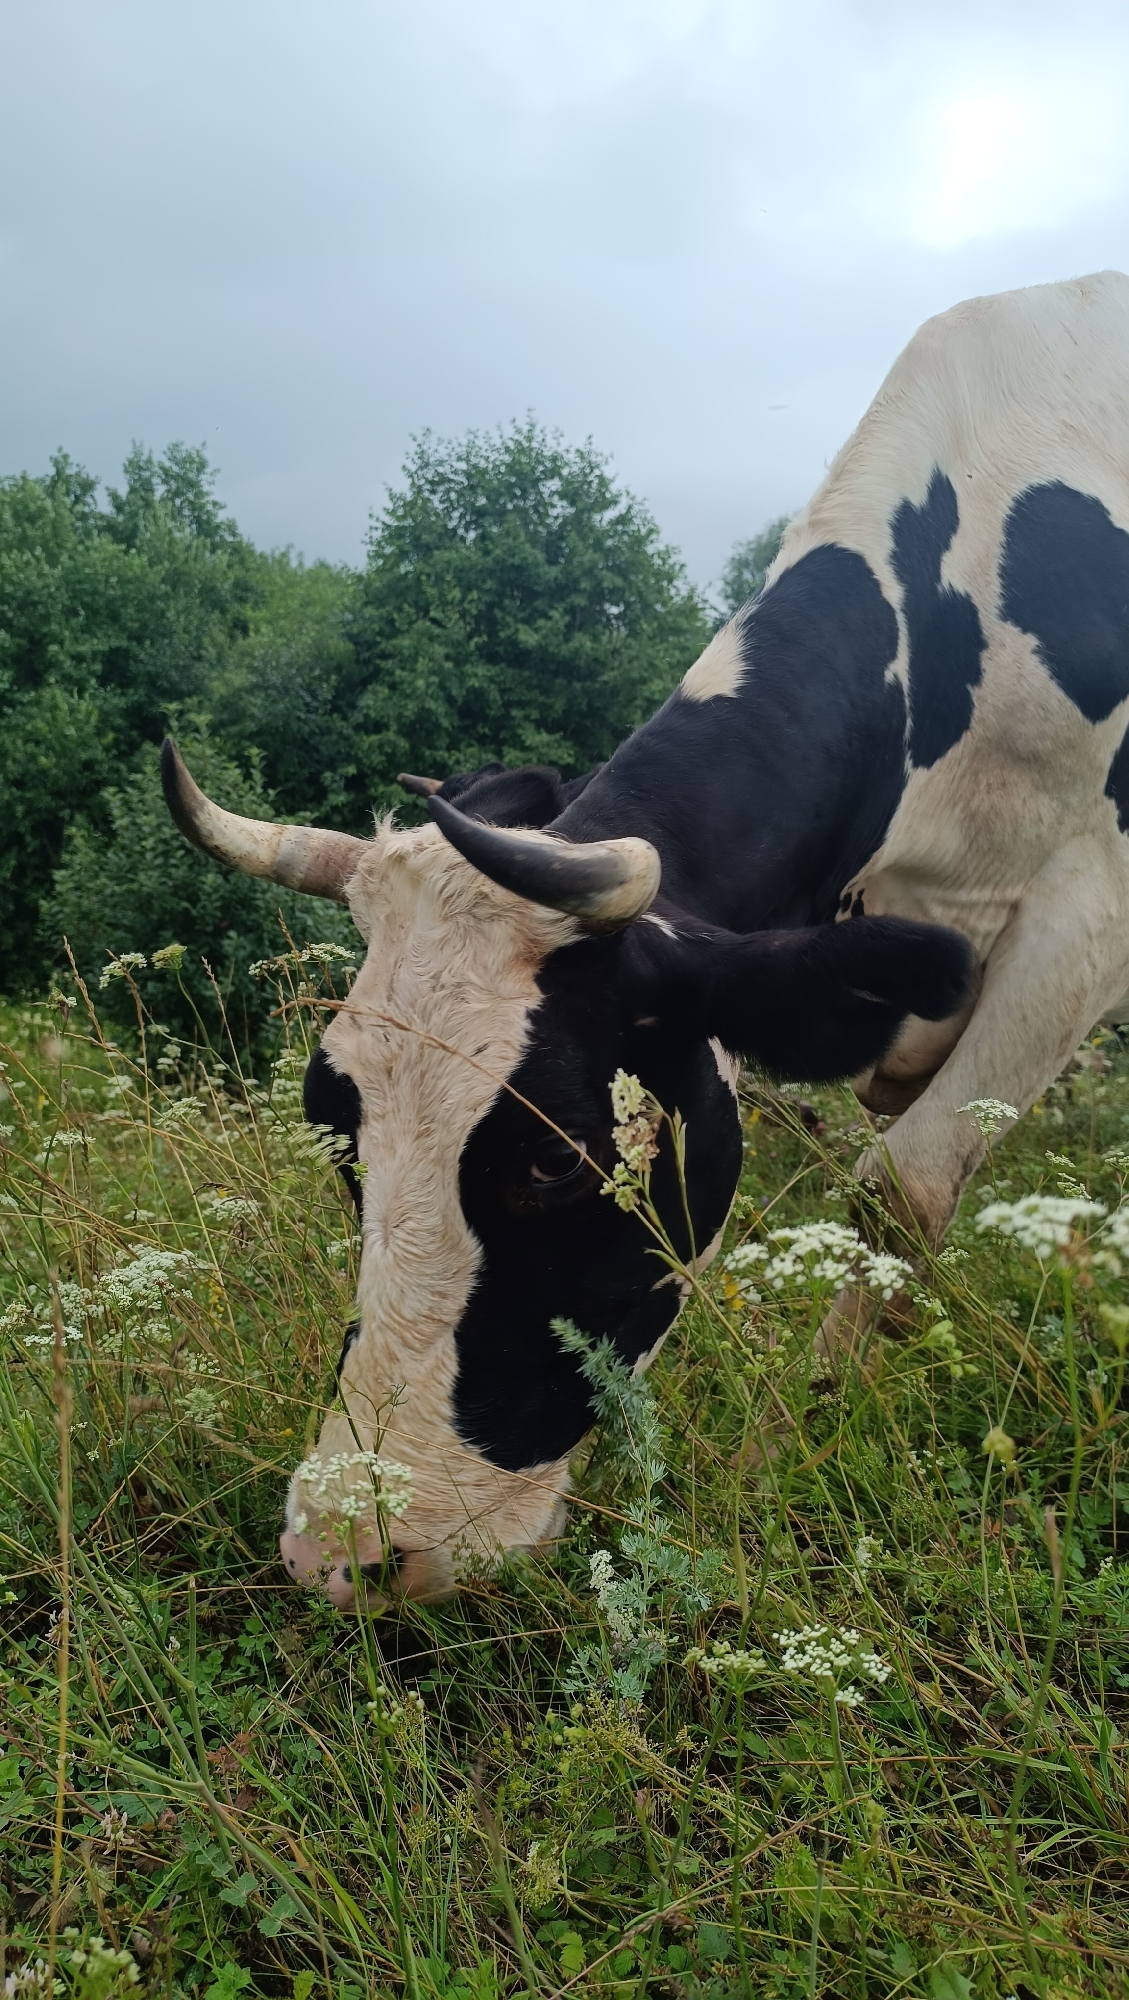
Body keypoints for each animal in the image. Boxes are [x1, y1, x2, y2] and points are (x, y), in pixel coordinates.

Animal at [162, 270, 1129, 1605]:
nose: (336, 1550)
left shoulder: (1088, 911)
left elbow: (900, 1197)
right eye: (334, 1126)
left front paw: (796, 1432)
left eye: (555, 1158)